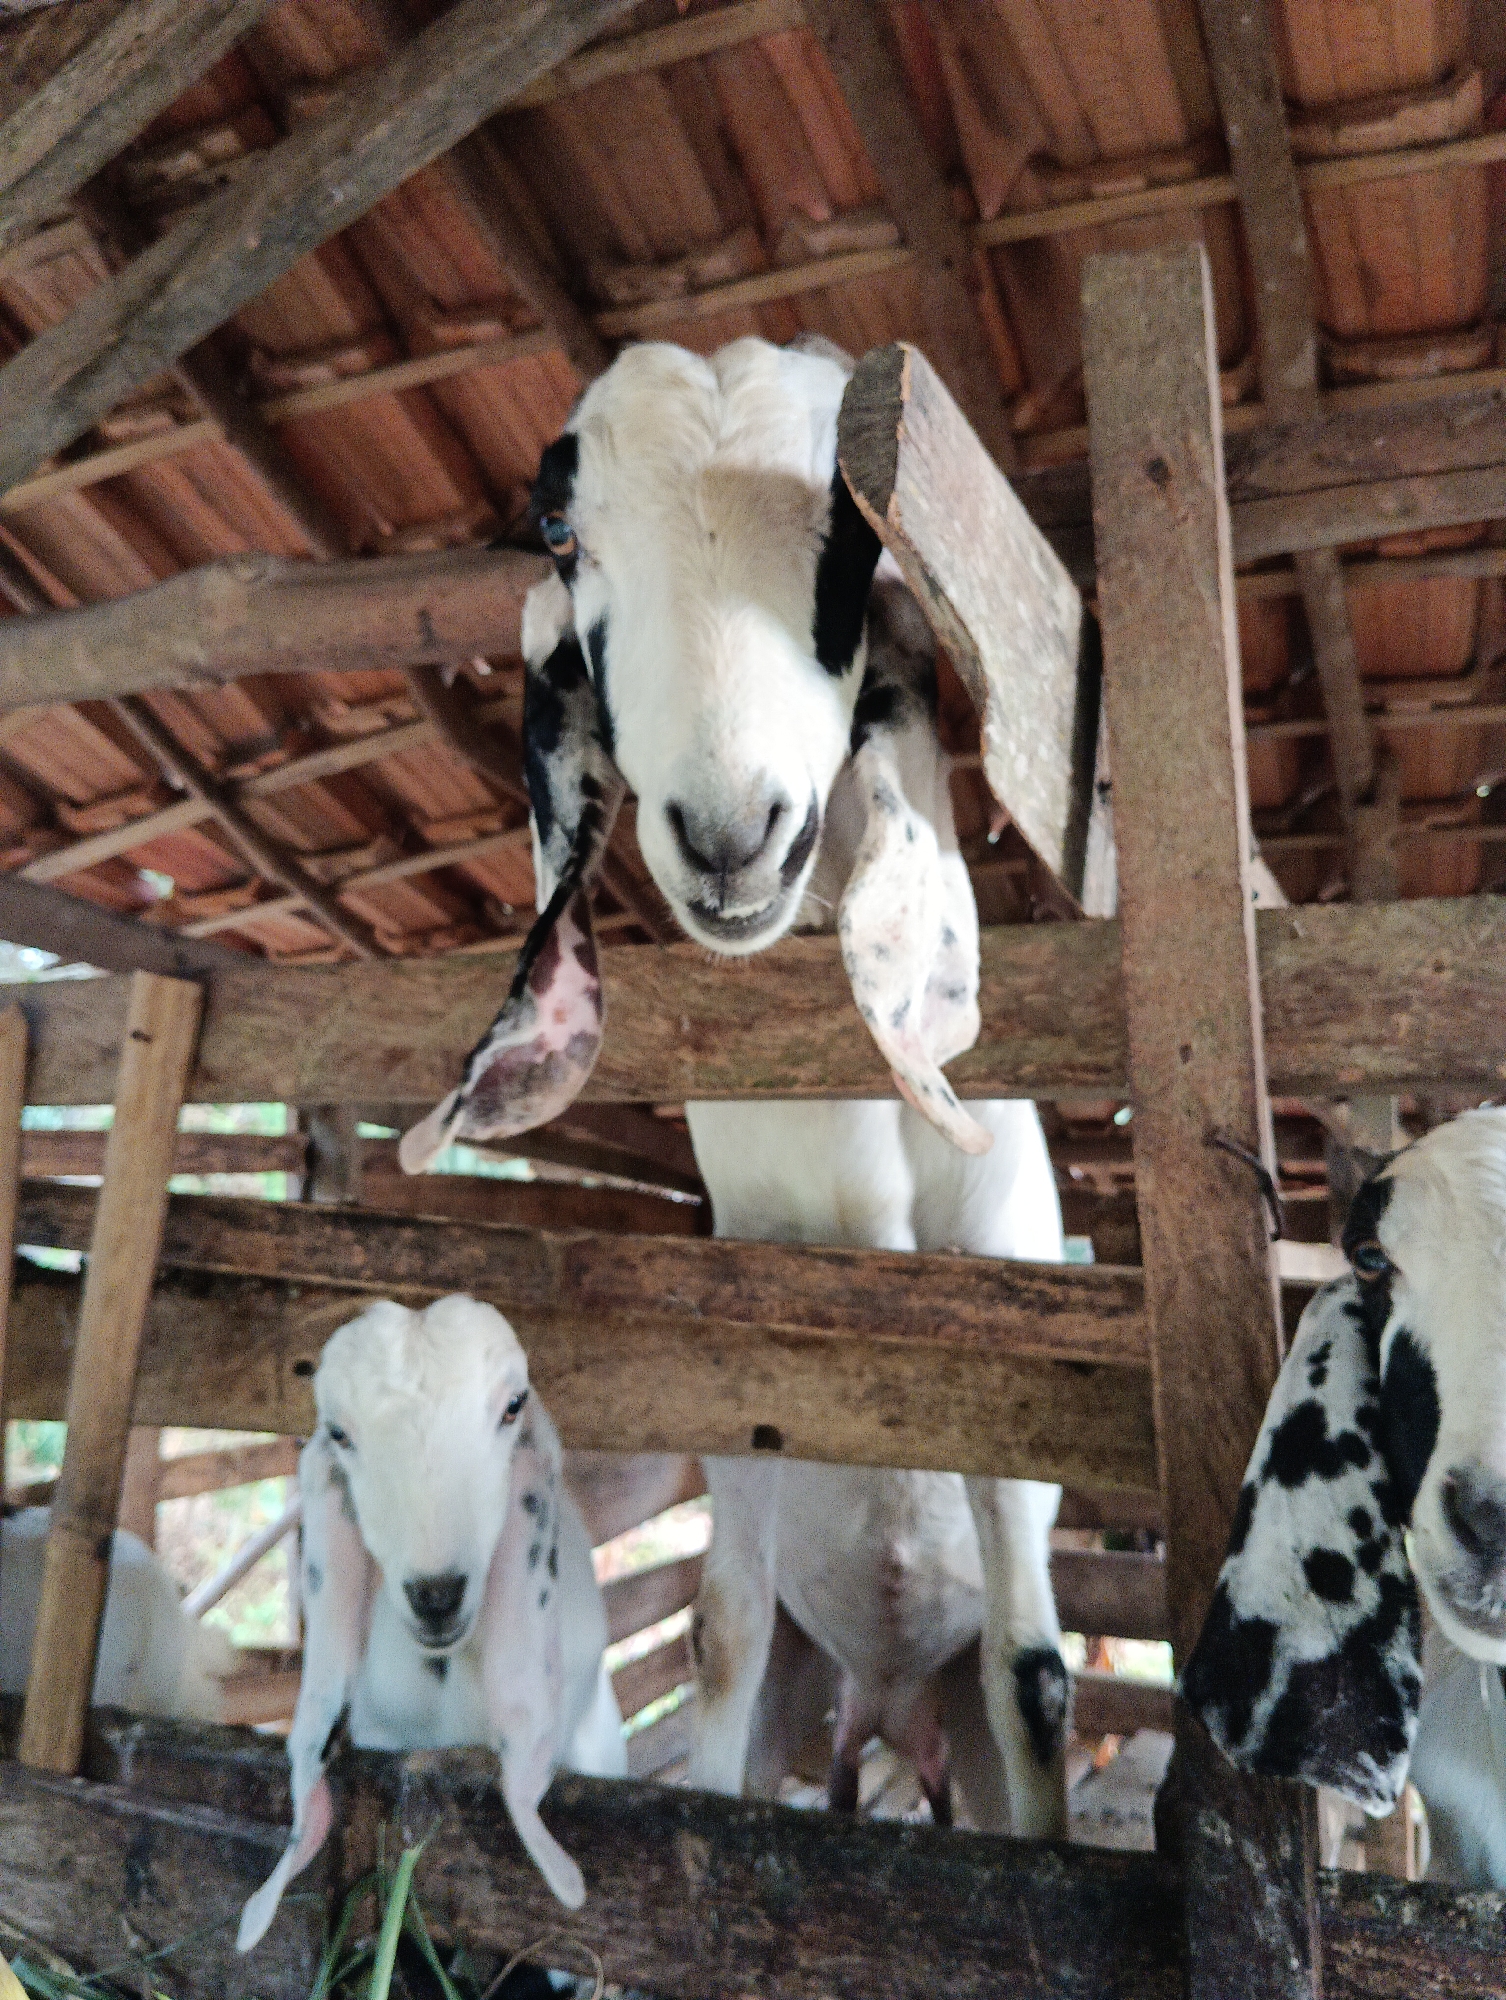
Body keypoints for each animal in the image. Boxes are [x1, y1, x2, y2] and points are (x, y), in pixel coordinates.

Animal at [400, 337, 1070, 1836]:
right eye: (561, 529)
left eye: (855, 533)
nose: (729, 837)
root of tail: (888, 1702)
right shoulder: (749, 1375)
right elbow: (719, 1635)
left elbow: (1037, 1675)